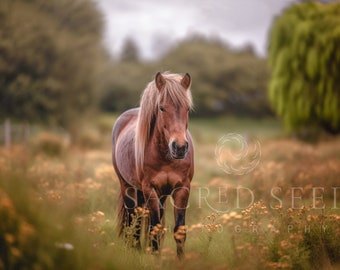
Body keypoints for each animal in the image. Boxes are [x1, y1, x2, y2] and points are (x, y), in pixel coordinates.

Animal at [112, 71, 194, 258]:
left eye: (187, 108)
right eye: (162, 108)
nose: (179, 147)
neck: (166, 157)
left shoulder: (182, 189)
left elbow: (179, 230)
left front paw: (181, 260)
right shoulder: (150, 189)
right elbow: (153, 229)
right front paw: (155, 259)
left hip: (160, 195)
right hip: (128, 187)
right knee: (132, 218)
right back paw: (133, 248)